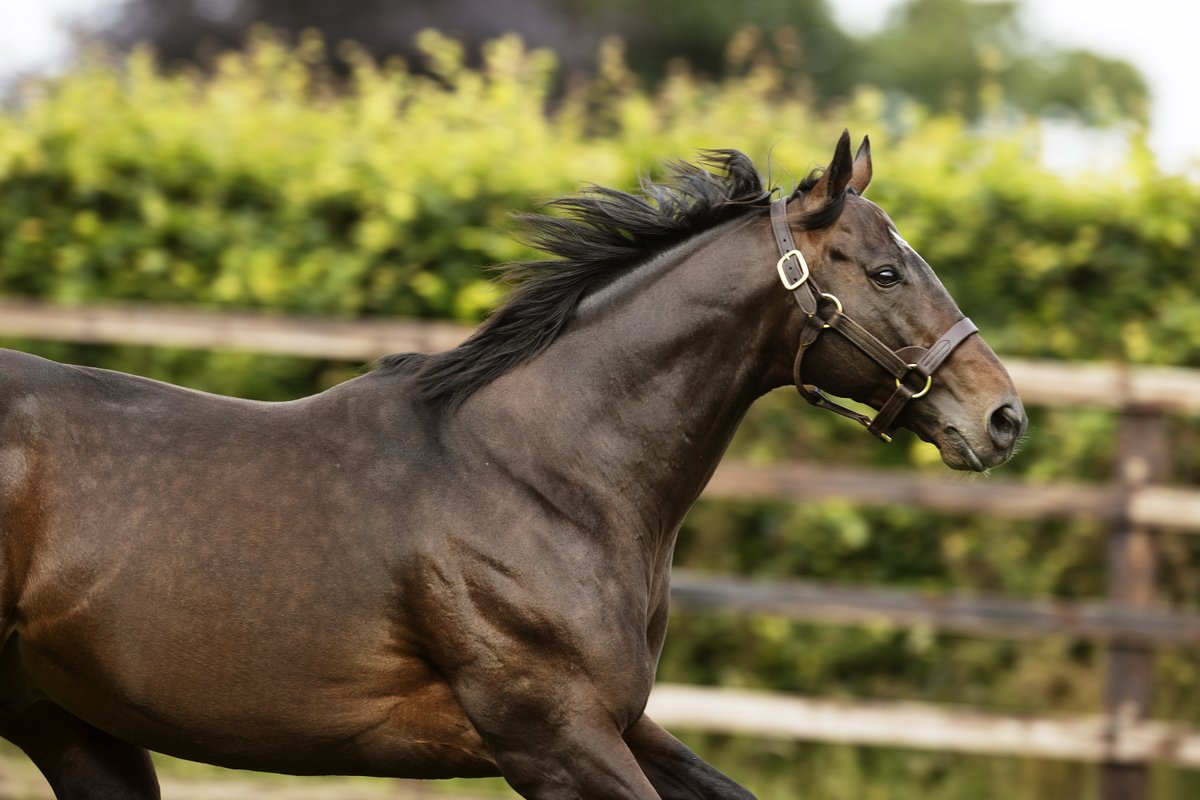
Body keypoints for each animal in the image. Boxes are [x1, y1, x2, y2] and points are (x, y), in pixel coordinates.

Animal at [0, 131, 1025, 799]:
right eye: (885, 272)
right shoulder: (552, 740)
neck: (546, 481)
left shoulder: (621, 721)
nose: (1003, 416)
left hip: (71, 721)